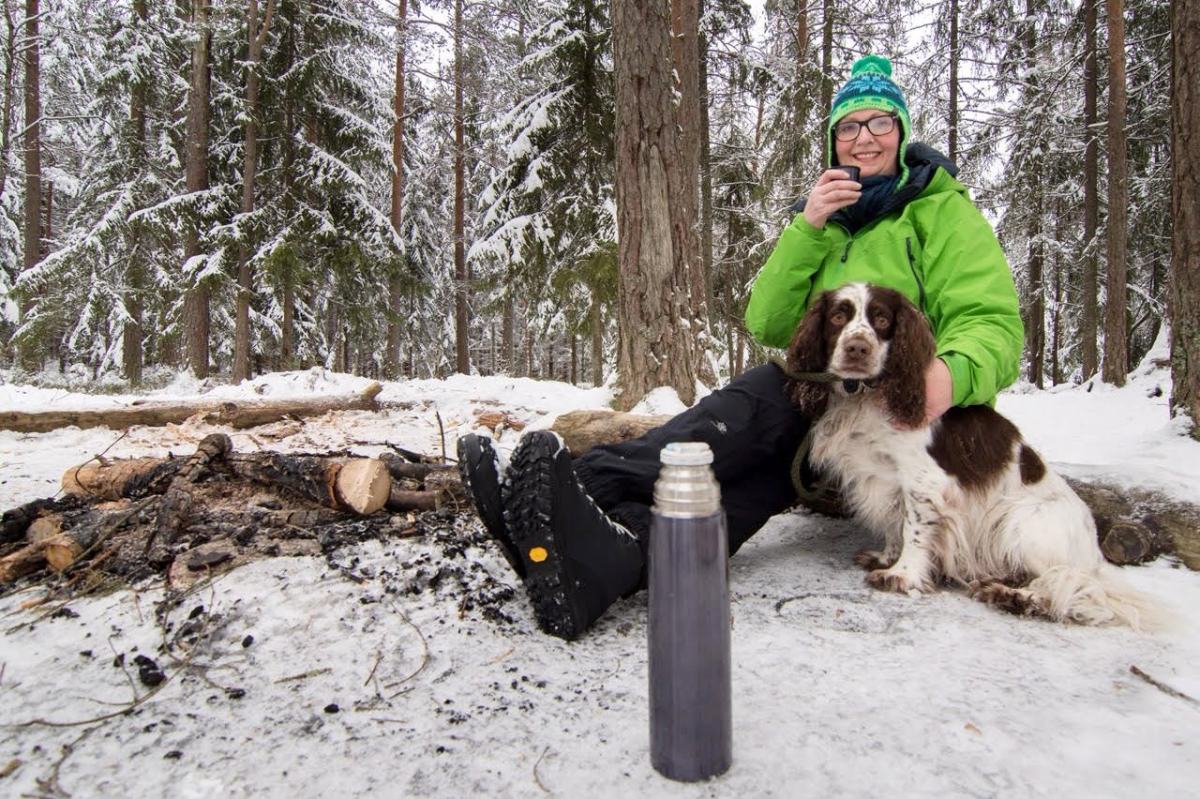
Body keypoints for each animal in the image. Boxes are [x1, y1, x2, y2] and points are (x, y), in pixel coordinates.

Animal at [787, 283, 1161, 623]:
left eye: (881, 318)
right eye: (838, 316)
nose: (857, 348)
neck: (866, 396)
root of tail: (1094, 555)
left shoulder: (924, 481)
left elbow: (914, 530)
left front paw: (903, 575)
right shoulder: (884, 479)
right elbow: (895, 524)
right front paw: (887, 557)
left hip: (1023, 525)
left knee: (1069, 587)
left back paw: (1015, 598)